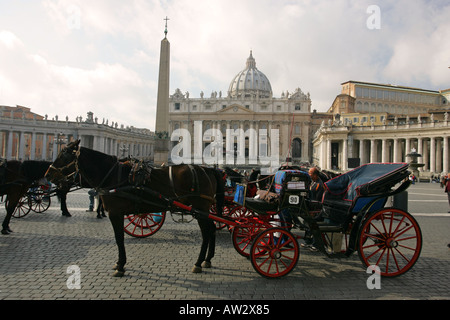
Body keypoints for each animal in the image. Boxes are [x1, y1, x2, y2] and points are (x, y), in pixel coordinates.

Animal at [45, 140, 225, 278]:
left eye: (64, 155)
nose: (48, 174)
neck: (113, 176)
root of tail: (209, 169)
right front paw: (119, 263)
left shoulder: (115, 213)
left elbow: (119, 239)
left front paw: (120, 266)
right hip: (203, 210)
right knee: (212, 229)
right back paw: (207, 260)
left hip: (200, 208)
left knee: (207, 233)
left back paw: (198, 263)